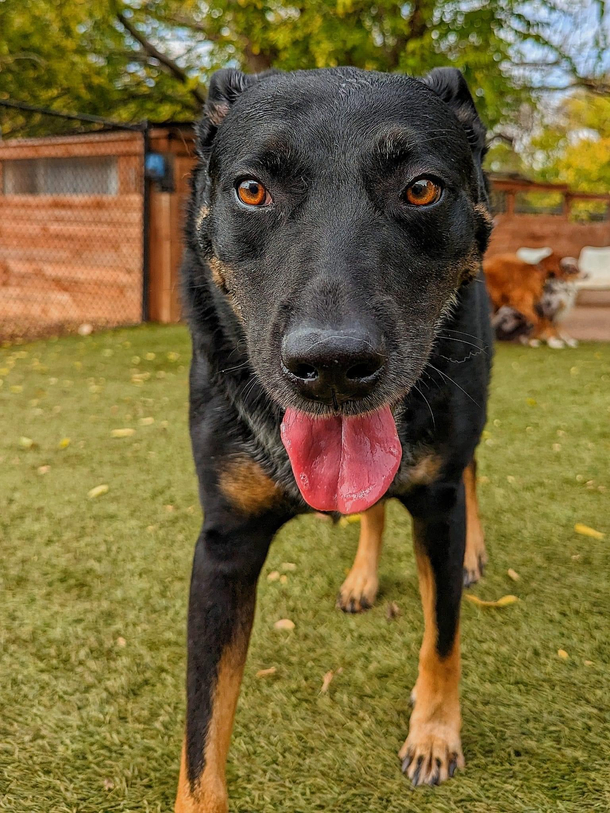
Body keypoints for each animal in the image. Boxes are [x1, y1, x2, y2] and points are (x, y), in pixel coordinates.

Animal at [175, 65, 490, 812]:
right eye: (251, 189)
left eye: (422, 188)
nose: (333, 365)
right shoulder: (224, 545)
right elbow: (202, 736)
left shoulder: (437, 501)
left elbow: (443, 632)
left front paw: (435, 733)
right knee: (371, 505)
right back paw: (362, 576)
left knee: (472, 472)